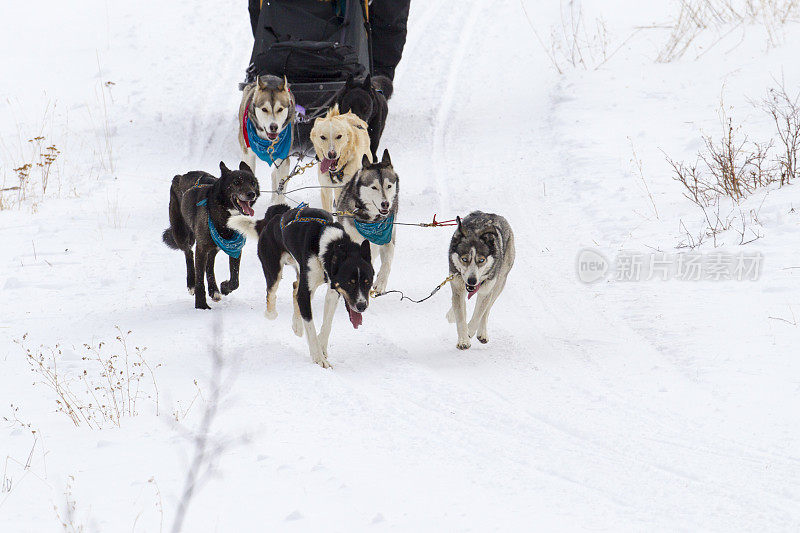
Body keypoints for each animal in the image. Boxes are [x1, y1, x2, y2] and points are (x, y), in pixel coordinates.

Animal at [162, 161, 260, 308]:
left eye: (252, 182)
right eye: (236, 182)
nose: (251, 194)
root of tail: (181, 176)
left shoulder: (235, 247)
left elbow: (235, 280)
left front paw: (224, 287)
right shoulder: (201, 248)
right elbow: (199, 280)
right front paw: (201, 305)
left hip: (213, 246)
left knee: (209, 263)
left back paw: (214, 290)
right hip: (181, 234)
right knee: (188, 254)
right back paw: (191, 284)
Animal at [256, 202, 376, 368]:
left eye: (368, 282)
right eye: (349, 283)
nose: (362, 306)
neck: (327, 243)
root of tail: (276, 217)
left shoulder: (333, 290)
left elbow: (327, 324)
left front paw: (321, 346)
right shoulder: (308, 291)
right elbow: (311, 328)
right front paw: (319, 358)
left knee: (295, 288)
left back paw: (297, 325)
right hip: (274, 271)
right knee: (273, 293)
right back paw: (271, 313)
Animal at [336, 148, 398, 294]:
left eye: (389, 186)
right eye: (374, 187)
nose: (385, 204)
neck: (373, 220)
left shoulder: (388, 237)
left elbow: (387, 262)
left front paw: (380, 282)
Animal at [446, 210, 516, 352]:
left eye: (481, 260)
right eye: (464, 259)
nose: (472, 280)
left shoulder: (486, 291)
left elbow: (478, 315)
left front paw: (469, 332)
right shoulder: (457, 287)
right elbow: (460, 316)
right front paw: (463, 340)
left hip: (499, 283)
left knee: (487, 310)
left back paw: (482, 333)